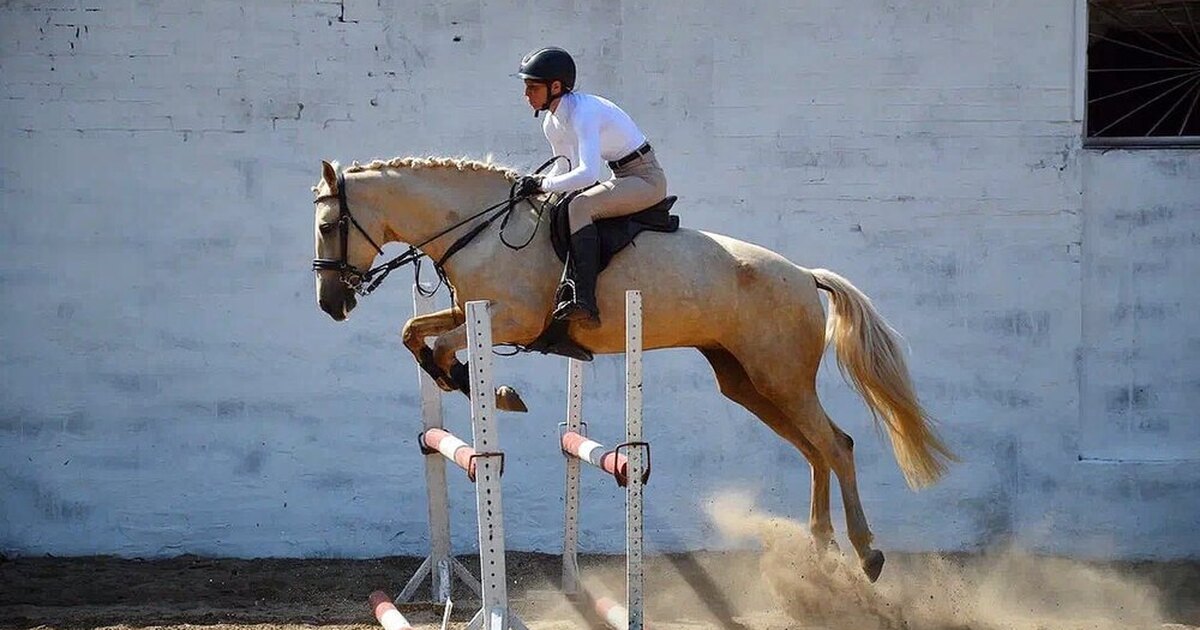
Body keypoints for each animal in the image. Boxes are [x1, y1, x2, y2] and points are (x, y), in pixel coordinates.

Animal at [311, 156, 955, 582]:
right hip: (747, 383)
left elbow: (441, 347)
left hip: (781, 379)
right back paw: (822, 551)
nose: (330, 304)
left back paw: (867, 554)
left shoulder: (512, 319)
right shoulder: (473, 312)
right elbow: (414, 334)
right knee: (815, 451)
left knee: (837, 445)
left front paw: (490, 389)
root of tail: (802, 274)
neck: (480, 229)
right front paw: (482, 386)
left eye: (325, 226)